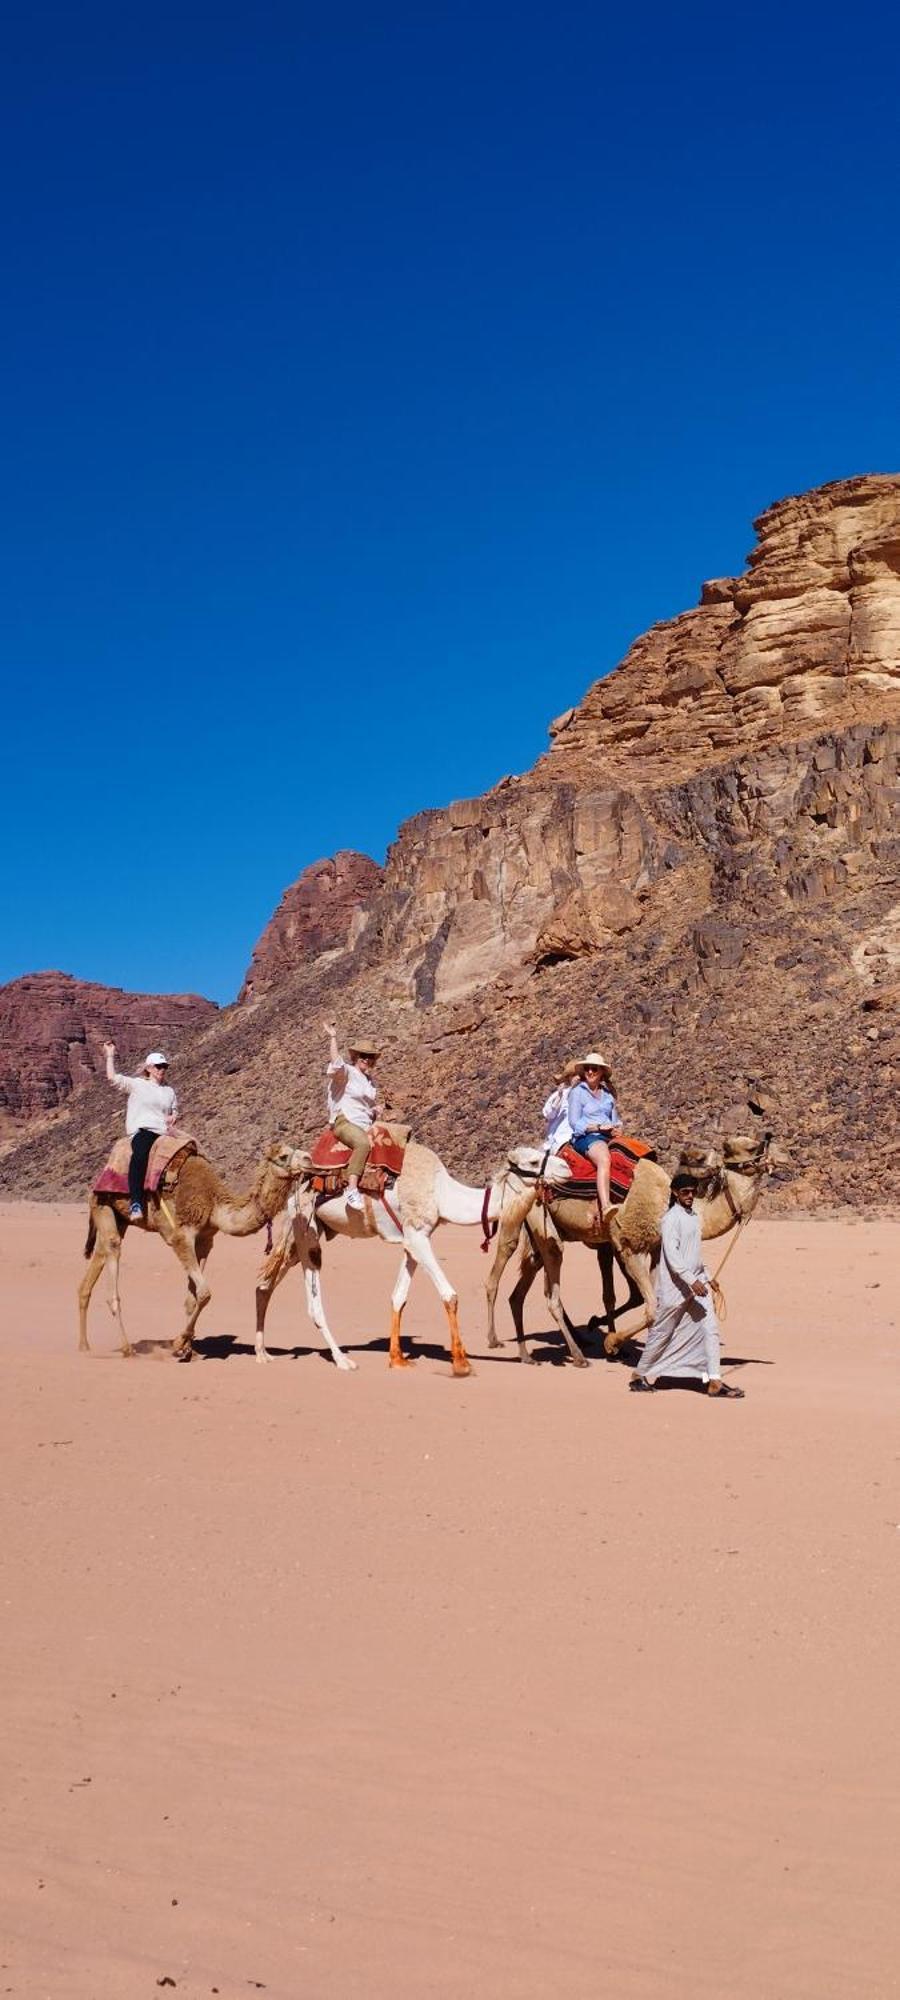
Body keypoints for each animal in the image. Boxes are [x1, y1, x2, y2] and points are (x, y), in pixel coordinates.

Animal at [78, 1144, 310, 1360]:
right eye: (283, 1155)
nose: (309, 1158)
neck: (214, 1205)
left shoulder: (205, 1240)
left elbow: (193, 1298)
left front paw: (188, 1349)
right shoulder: (181, 1237)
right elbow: (205, 1293)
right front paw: (178, 1343)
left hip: (118, 1217)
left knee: (94, 1267)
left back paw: (84, 1346)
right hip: (103, 1203)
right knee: (113, 1250)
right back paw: (127, 1349)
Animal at [251, 1144, 568, 1376]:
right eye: (532, 1161)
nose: (566, 1167)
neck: (441, 1194)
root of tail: (296, 1189)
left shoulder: (412, 1241)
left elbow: (398, 1298)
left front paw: (398, 1359)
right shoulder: (418, 1234)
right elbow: (449, 1295)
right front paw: (462, 1363)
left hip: (301, 1236)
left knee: (264, 1285)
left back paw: (263, 1353)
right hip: (308, 1232)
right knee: (311, 1301)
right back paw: (342, 1360)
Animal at [482, 1136, 768, 1368]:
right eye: (747, 1147)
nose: (766, 1146)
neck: (662, 1201)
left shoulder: (653, 1249)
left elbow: (646, 1301)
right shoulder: (629, 1246)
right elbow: (650, 1308)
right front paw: (612, 1343)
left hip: (543, 1236)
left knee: (522, 1291)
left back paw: (536, 1352)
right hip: (529, 1221)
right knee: (511, 1272)